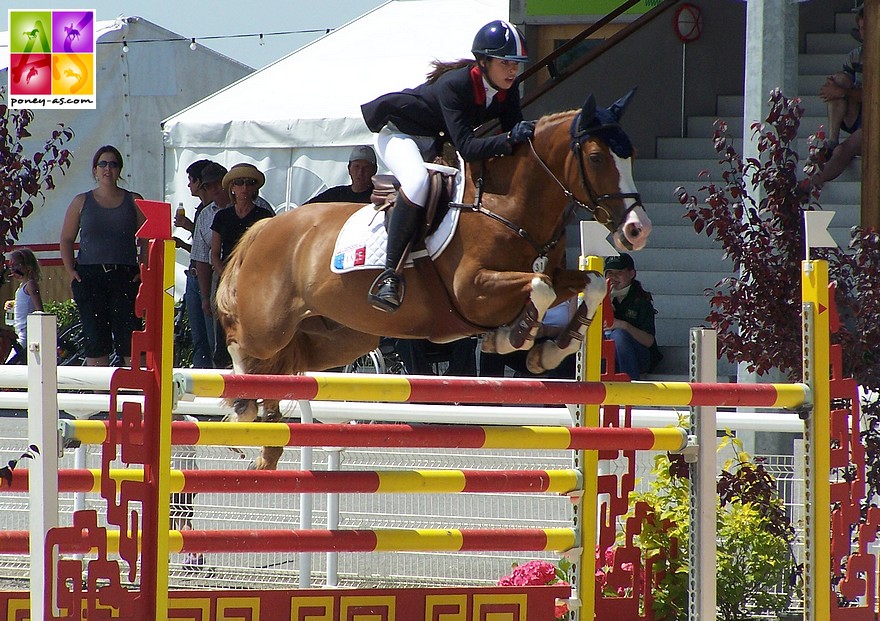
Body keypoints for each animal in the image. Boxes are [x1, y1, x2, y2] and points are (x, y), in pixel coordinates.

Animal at [217, 91, 648, 470]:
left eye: (630, 157)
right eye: (596, 157)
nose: (636, 229)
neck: (506, 206)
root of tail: (268, 225)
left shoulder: (552, 274)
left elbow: (591, 284)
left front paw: (550, 352)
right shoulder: (473, 290)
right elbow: (539, 287)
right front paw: (514, 336)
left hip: (340, 338)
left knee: (283, 367)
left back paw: (268, 447)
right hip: (270, 325)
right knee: (243, 344)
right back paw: (243, 406)